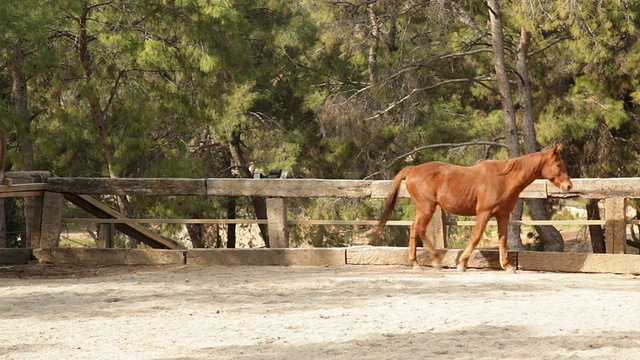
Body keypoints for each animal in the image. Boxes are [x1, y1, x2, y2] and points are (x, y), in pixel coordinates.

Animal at [378, 145, 572, 272]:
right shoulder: (483, 213)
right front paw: (462, 264)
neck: (504, 178)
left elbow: (503, 240)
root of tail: (412, 169)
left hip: (422, 208)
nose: (568, 186)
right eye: (558, 165)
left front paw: (507, 265)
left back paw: (416, 263)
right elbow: (476, 237)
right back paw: (436, 261)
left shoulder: (502, 215)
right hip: (427, 208)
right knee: (420, 230)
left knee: (413, 229)